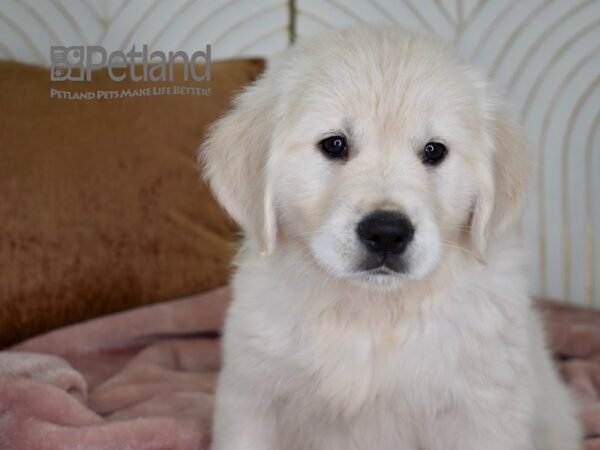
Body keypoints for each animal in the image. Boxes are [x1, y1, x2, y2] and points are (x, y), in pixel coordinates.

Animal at [200, 27, 580, 450]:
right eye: (334, 144)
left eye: (434, 150)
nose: (386, 232)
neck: (373, 312)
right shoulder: (252, 397)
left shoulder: (483, 413)